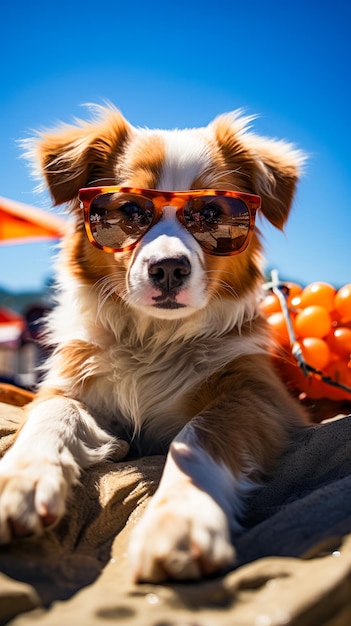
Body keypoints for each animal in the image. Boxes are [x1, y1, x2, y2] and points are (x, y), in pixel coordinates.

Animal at [0, 103, 306, 580]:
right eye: (129, 210)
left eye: (212, 213)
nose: (168, 268)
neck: (152, 337)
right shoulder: (70, 384)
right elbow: (52, 412)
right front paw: (23, 475)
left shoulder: (259, 393)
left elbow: (198, 434)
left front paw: (180, 517)